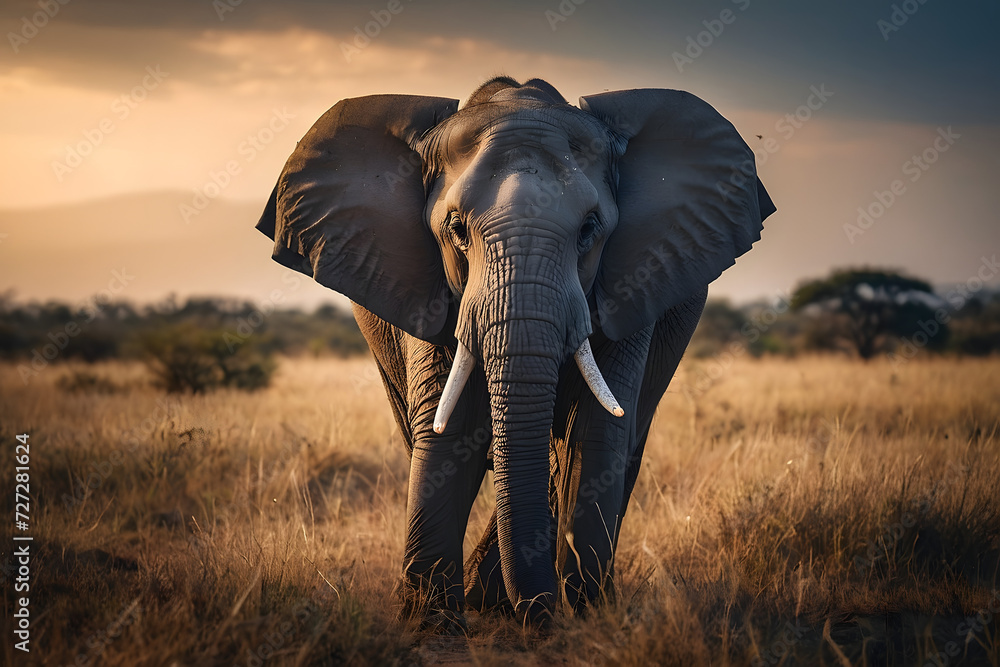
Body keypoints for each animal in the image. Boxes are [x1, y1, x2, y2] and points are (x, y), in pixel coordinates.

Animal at [256, 76, 774, 627]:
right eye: (456, 229)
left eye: (590, 228)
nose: (541, 615)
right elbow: (452, 425)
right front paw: (433, 623)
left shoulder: (633, 279)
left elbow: (595, 431)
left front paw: (592, 618)